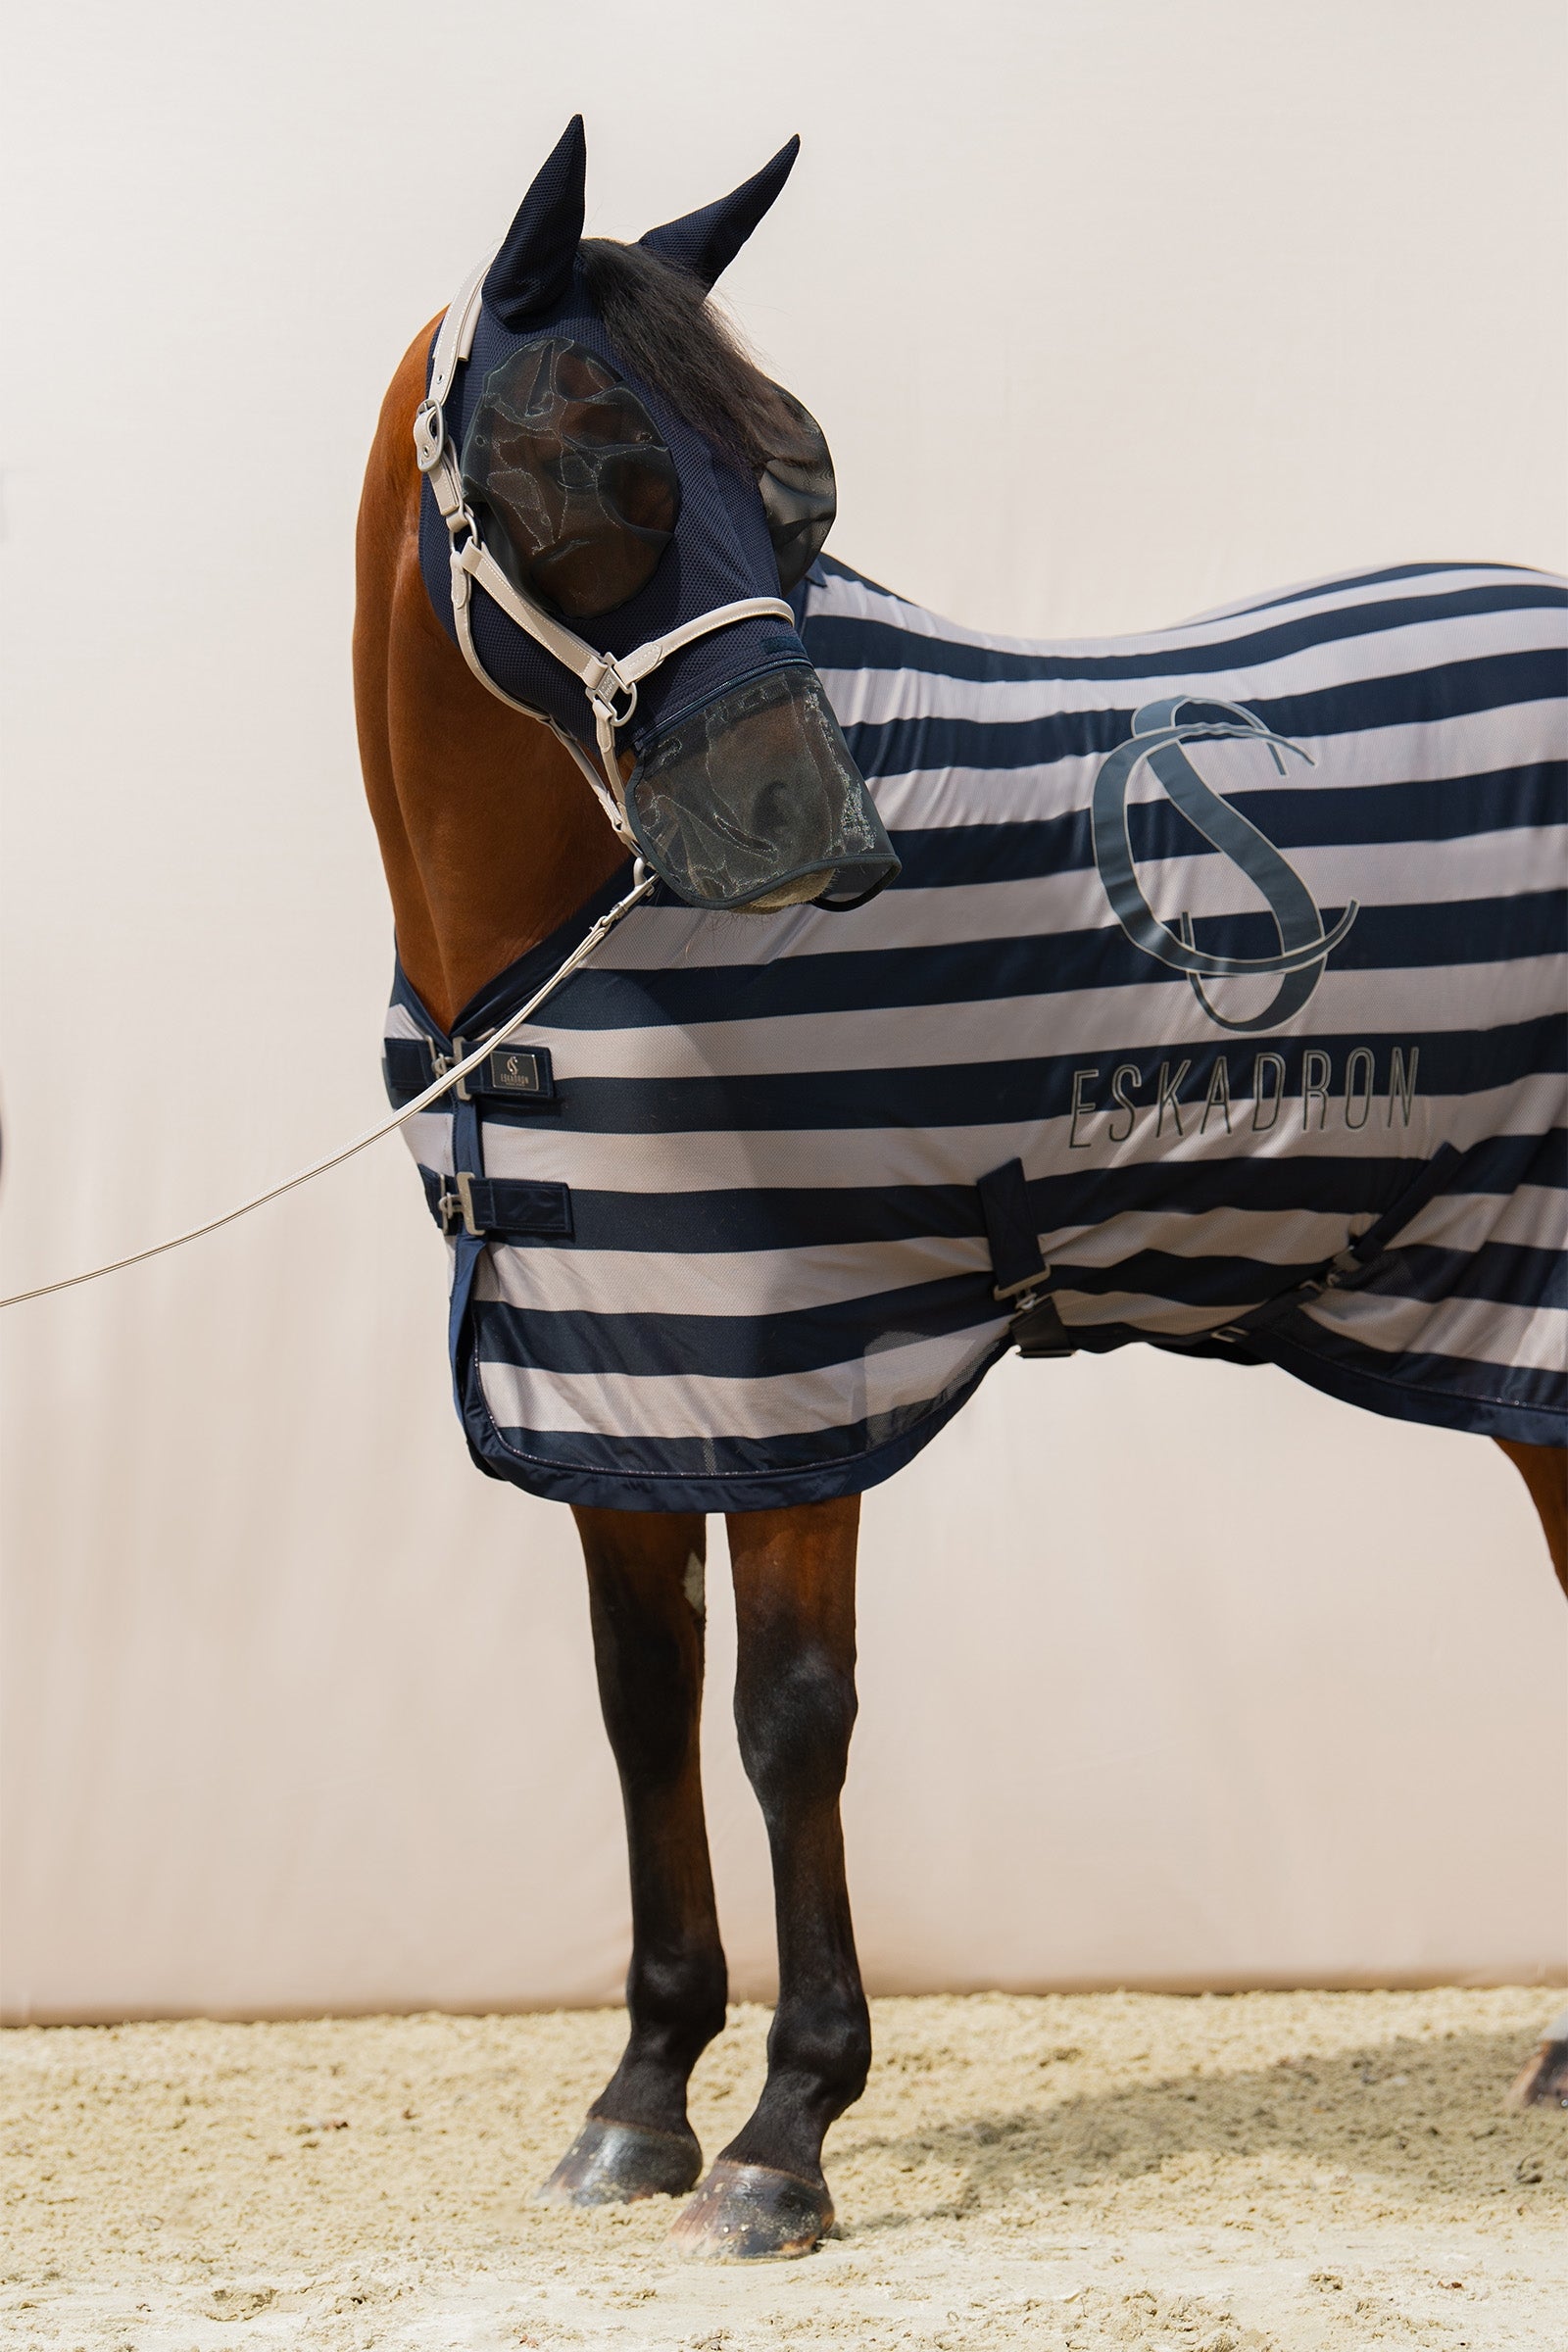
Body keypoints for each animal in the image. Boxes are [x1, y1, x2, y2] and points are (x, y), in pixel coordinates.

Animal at [354, 118, 1568, 2260]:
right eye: (586, 470)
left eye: (803, 485)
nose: (817, 837)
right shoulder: (621, 1380)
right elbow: (641, 1704)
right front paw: (639, 2104)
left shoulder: (799, 1360)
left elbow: (788, 1718)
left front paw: (781, 2138)